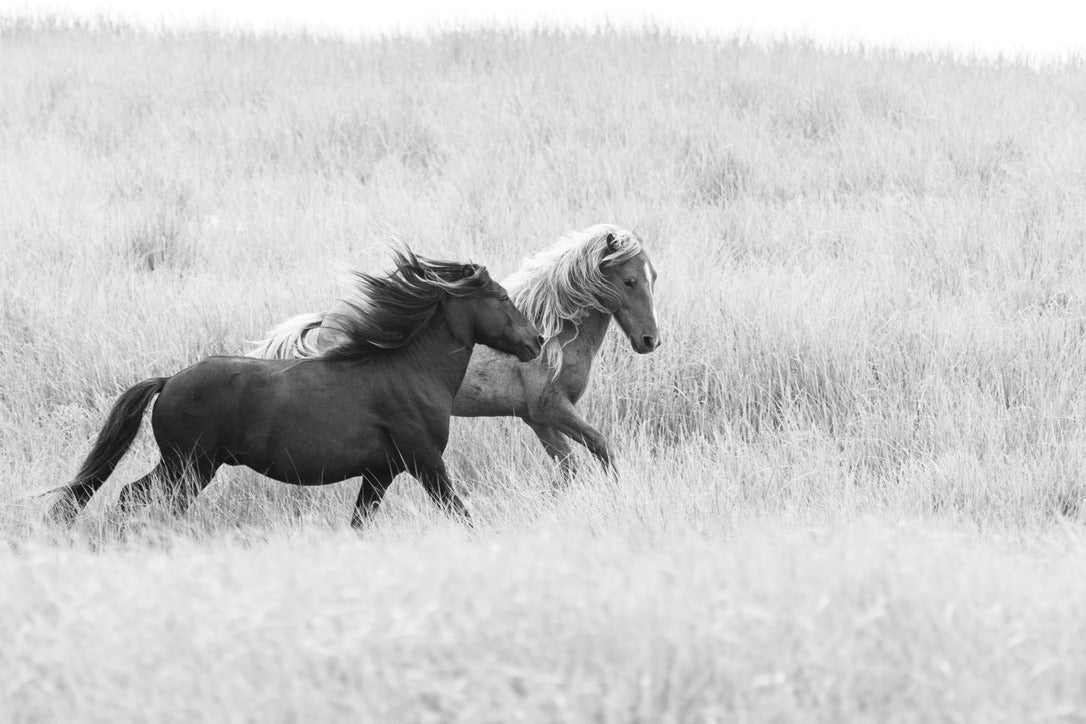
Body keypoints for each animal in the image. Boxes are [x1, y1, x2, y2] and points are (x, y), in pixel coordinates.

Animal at [49, 251, 543, 529]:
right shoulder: (425, 462)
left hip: (187, 467)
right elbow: (460, 513)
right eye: (501, 297)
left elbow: (360, 523)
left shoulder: (380, 473)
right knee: (136, 498)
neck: (411, 372)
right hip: (188, 467)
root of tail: (169, 381)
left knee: (132, 496)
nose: (536, 340)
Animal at [251, 223, 660, 477]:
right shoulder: (553, 409)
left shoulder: (538, 419)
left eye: (652, 277)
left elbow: (568, 469)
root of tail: (326, 322)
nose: (650, 341)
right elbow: (600, 445)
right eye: (629, 280)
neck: (554, 332)